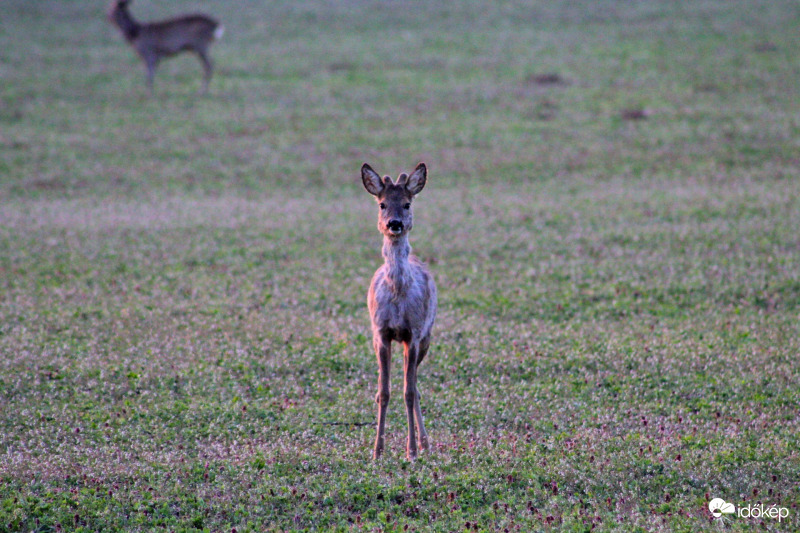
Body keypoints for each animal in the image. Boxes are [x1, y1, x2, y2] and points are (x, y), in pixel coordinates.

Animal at [362, 160, 438, 460]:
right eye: (382, 204)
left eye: (406, 203)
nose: (394, 223)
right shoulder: (382, 333)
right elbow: (384, 392)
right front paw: (377, 451)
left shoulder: (413, 334)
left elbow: (408, 392)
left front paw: (412, 451)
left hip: (427, 337)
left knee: (415, 389)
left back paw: (426, 443)